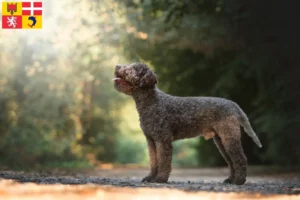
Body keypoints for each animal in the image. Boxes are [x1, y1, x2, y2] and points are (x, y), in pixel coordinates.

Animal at [113, 62, 262, 184]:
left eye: (133, 68)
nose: (117, 66)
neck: (151, 102)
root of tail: (233, 105)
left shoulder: (162, 140)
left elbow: (163, 161)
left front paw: (160, 179)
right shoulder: (151, 140)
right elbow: (154, 161)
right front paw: (150, 178)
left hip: (229, 137)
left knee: (240, 159)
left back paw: (239, 181)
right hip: (221, 140)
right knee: (231, 161)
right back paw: (230, 180)